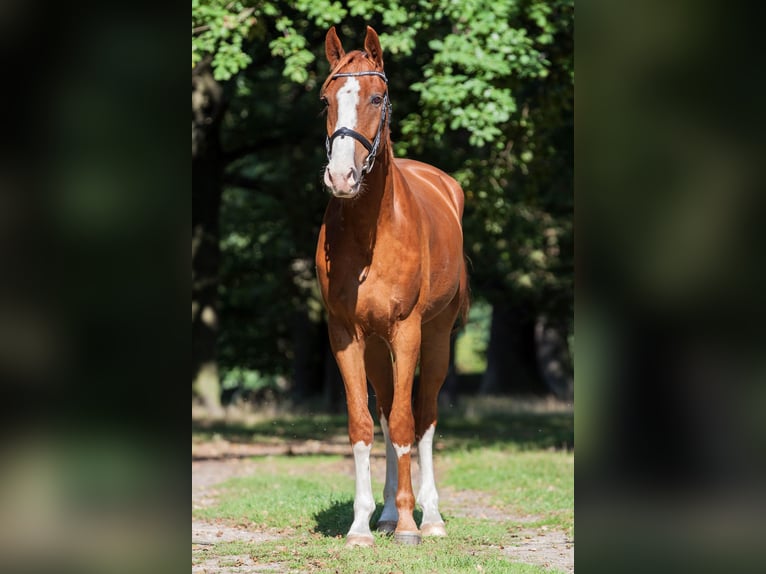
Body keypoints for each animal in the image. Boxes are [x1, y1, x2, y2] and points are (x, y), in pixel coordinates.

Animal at [315, 25, 469, 547]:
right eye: (326, 100)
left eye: (377, 97)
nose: (341, 176)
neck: (371, 231)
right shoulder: (346, 335)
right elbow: (364, 424)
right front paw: (362, 526)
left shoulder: (407, 331)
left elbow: (406, 422)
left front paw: (408, 526)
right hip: (378, 347)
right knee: (384, 414)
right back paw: (383, 515)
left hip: (436, 337)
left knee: (424, 416)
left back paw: (431, 517)